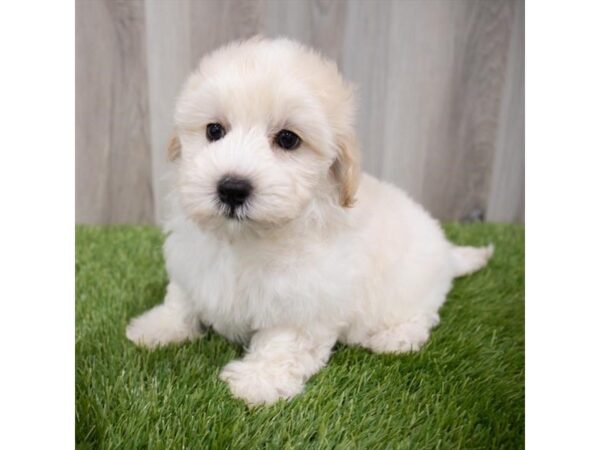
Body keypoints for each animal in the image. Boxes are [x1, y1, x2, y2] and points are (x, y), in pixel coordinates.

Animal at [125, 37, 492, 406]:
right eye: (214, 130)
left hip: (410, 287)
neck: (247, 237)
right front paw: (157, 327)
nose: (231, 188)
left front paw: (258, 381)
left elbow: (284, 342)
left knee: (422, 314)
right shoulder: (192, 262)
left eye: (288, 139)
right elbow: (181, 300)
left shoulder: (304, 299)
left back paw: (395, 338)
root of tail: (447, 251)